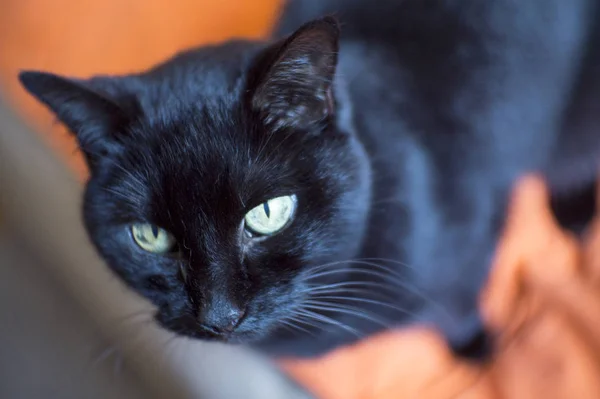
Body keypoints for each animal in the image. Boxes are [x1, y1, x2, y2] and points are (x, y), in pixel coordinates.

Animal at [17, 0, 600, 360]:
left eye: (268, 214)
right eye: (150, 236)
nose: (219, 316)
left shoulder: (460, 266)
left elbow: (457, 311)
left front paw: (479, 351)